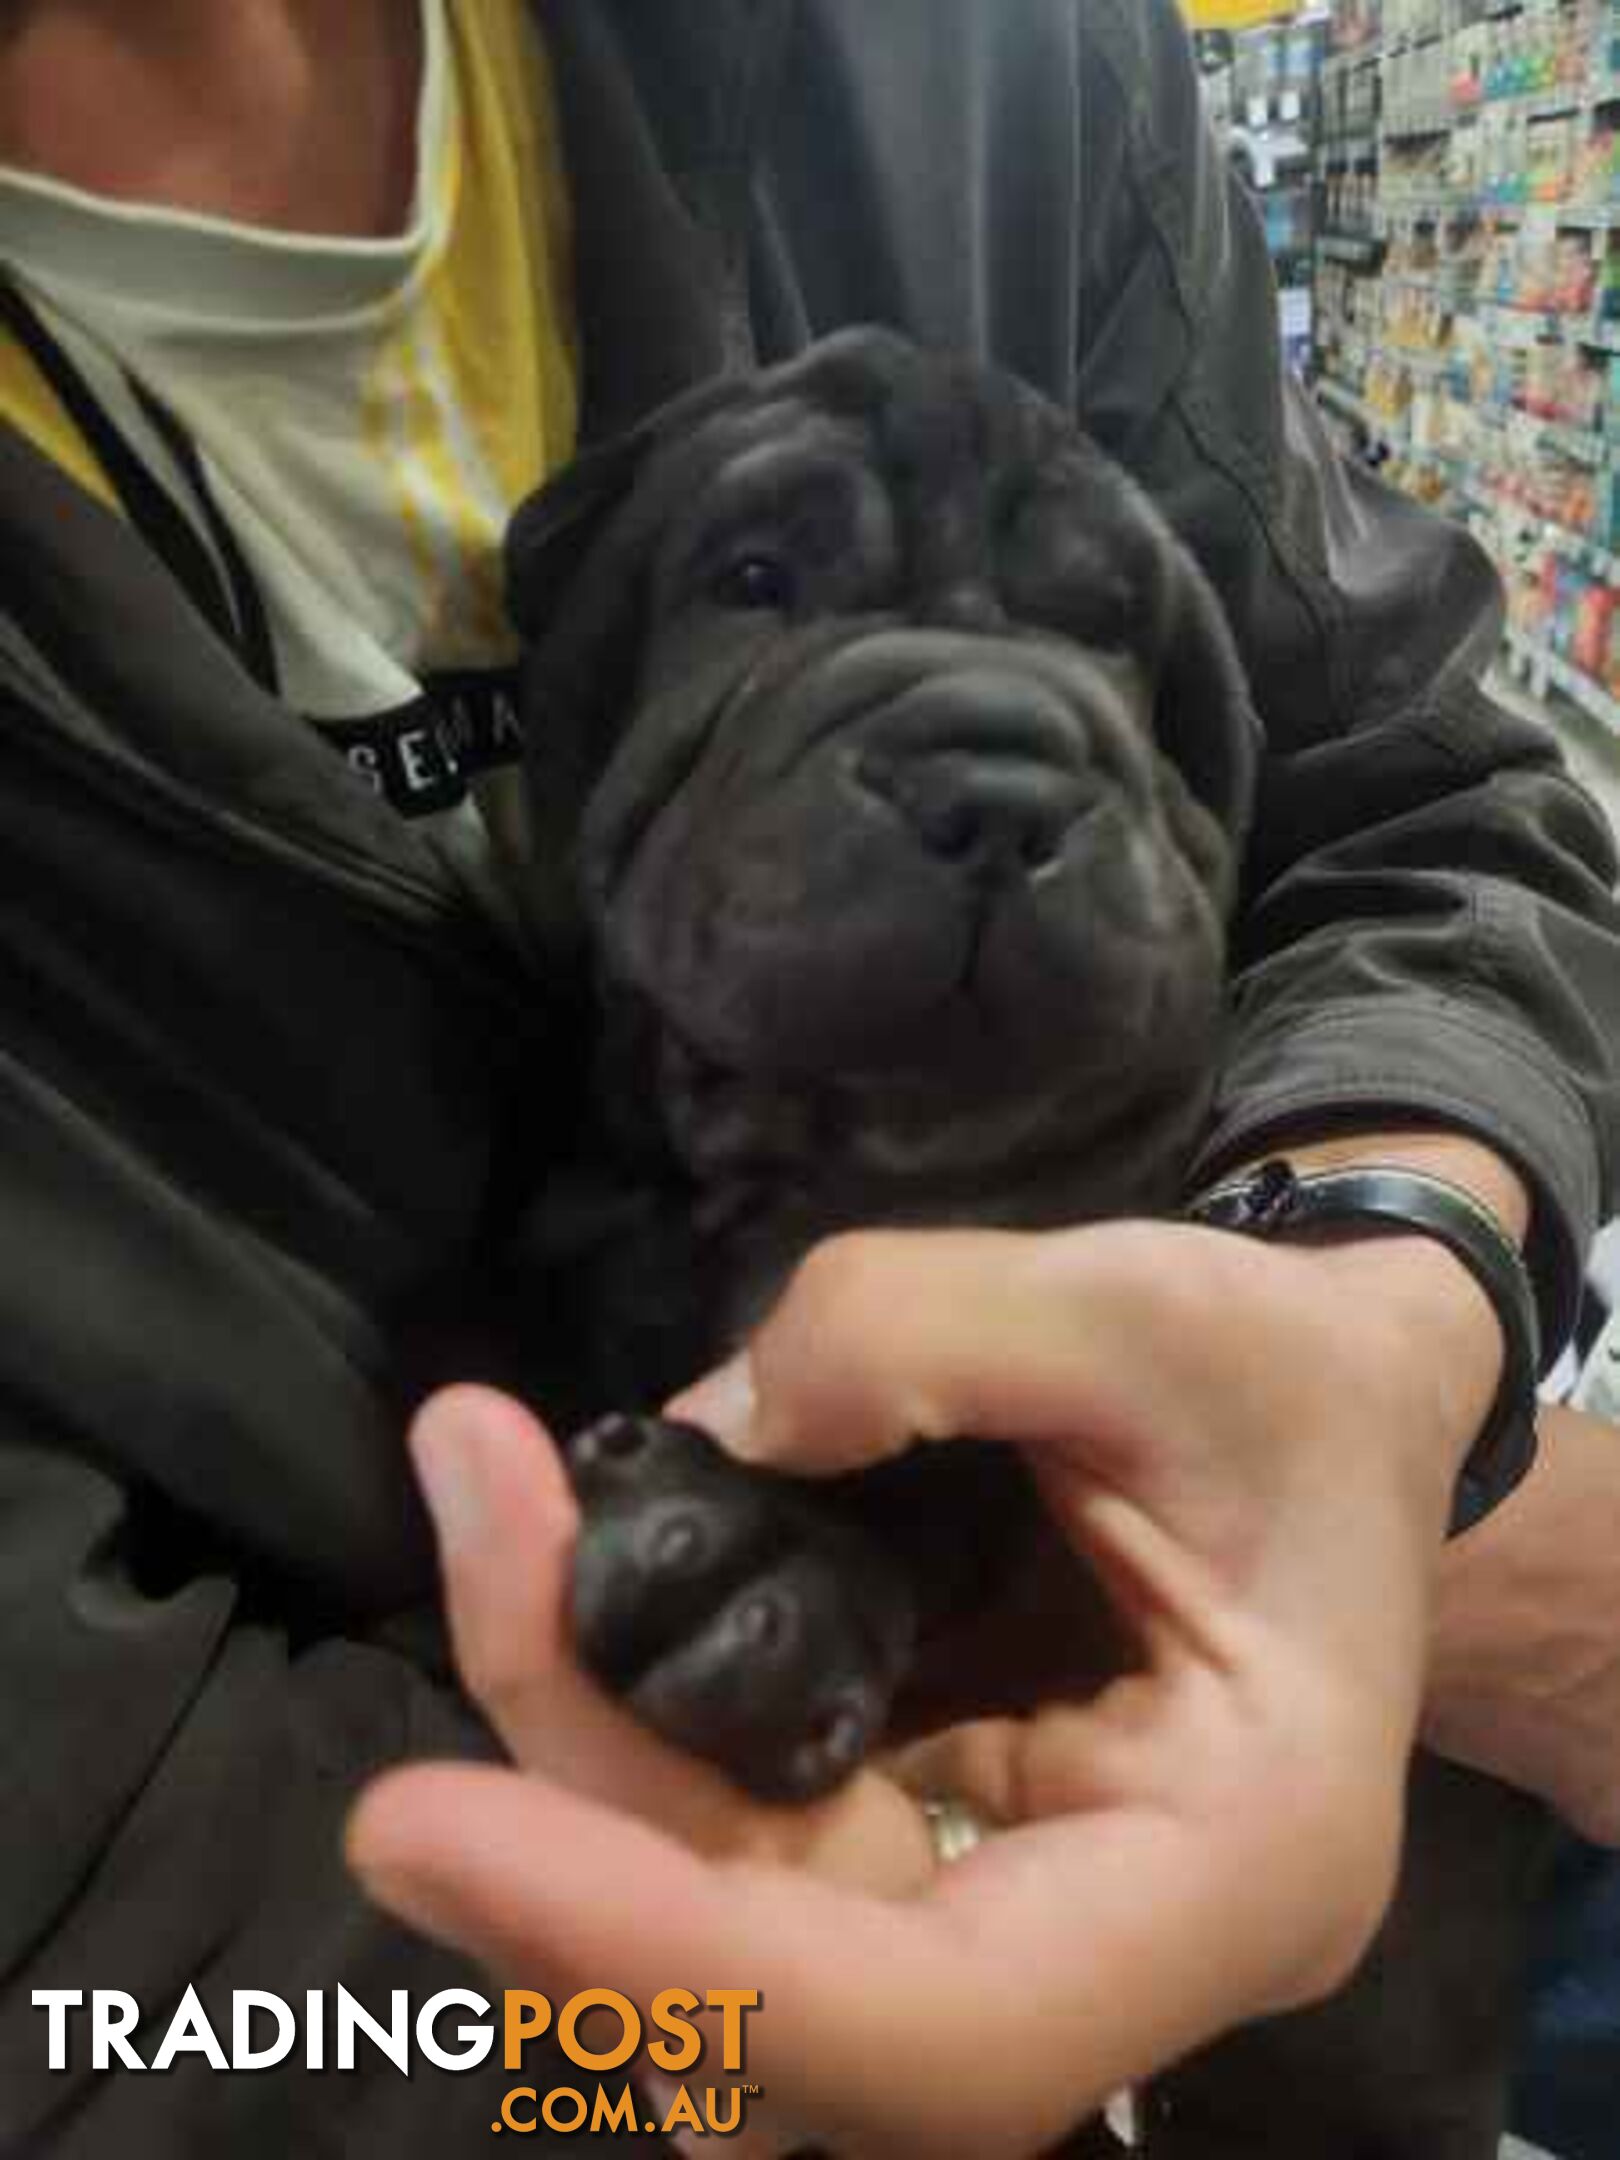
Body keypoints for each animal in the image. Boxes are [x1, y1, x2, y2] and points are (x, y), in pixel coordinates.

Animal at [501, 328, 1555, 2151]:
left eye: (1123, 642)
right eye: (752, 578)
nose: (995, 776)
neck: (830, 1164)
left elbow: (937, 1463)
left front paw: (753, 1562)